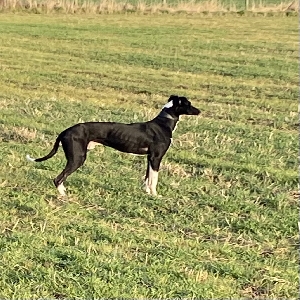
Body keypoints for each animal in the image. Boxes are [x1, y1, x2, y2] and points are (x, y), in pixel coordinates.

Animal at [27, 95, 200, 196]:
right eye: (189, 103)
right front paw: (155, 195)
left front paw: (146, 192)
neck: (164, 122)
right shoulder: (157, 157)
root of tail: (64, 131)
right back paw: (64, 196)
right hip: (77, 158)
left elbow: (147, 177)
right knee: (58, 178)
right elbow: (154, 179)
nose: (199, 111)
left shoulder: (149, 158)